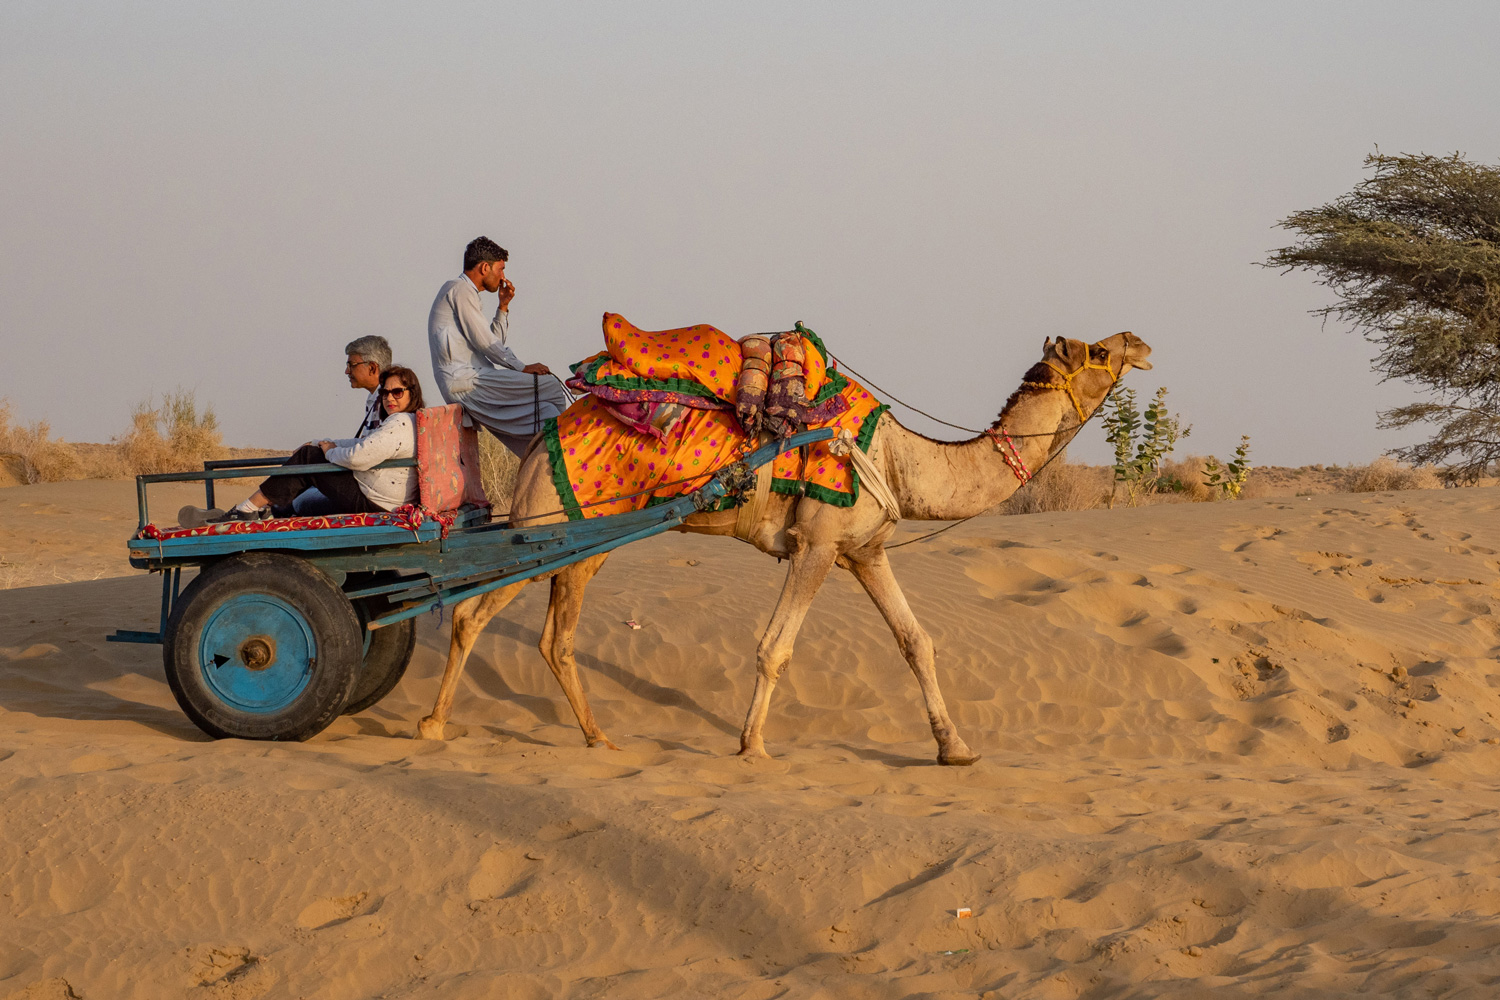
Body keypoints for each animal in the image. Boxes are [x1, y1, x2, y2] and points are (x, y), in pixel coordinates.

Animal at [417, 332, 1152, 761]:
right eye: (1095, 351)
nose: (1139, 342)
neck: (902, 459)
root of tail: (540, 440)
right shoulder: (816, 544)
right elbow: (775, 647)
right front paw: (752, 746)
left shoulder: (866, 550)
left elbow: (917, 641)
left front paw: (955, 747)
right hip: (551, 522)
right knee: (494, 618)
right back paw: (447, 725)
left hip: (578, 535)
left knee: (532, 629)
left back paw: (572, 734)